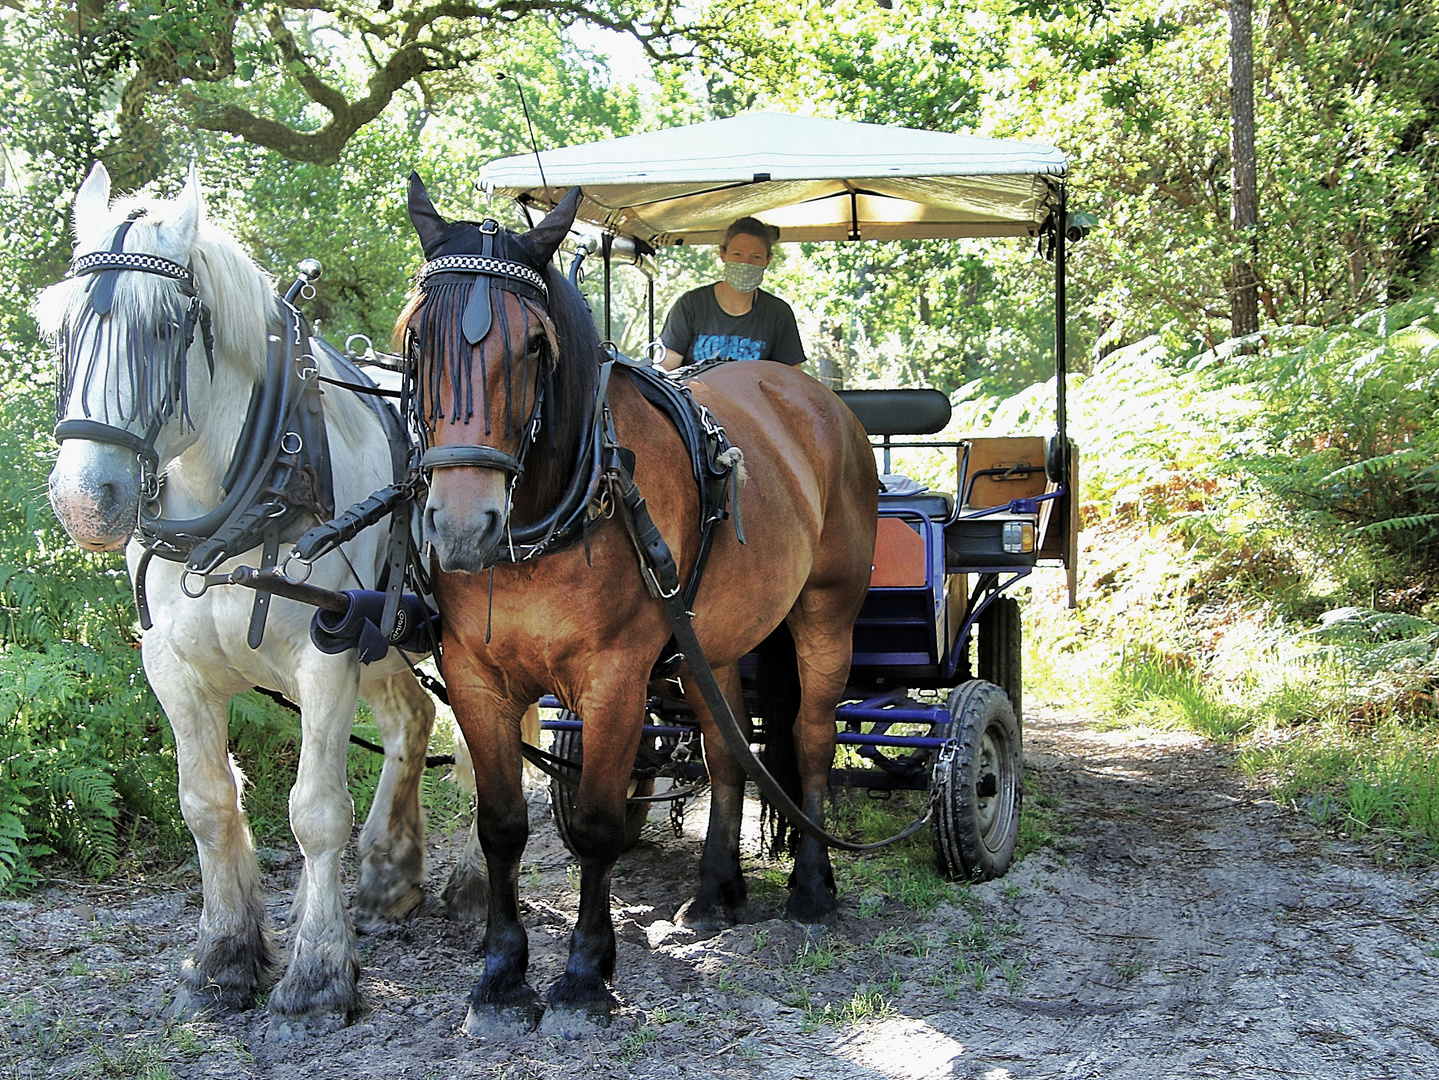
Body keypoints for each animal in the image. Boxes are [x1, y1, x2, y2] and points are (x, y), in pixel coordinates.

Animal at [35, 162, 477, 1023]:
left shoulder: (324, 661)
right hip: (384, 635)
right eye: (62, 327)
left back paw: (472, 877)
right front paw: (224, 956)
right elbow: (207, 804)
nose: (84, 498)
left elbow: (315, 812)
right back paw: (385, 875)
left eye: (165, 329)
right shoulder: (172, 670)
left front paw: (317, 972)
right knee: (413, 719)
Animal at [400, 177, 880, 1041]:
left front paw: (584, 977)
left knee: (809, 737)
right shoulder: (475, 676)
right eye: (416, 339)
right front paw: (500, 979)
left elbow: (594, 825)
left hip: (826, 613)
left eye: (534, 346)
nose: (459, 526)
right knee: (727, 751)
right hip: (711, 640)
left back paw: (811, 886)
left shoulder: (615, 677)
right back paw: (715, 891)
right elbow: (502, 827)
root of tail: (813, 397)